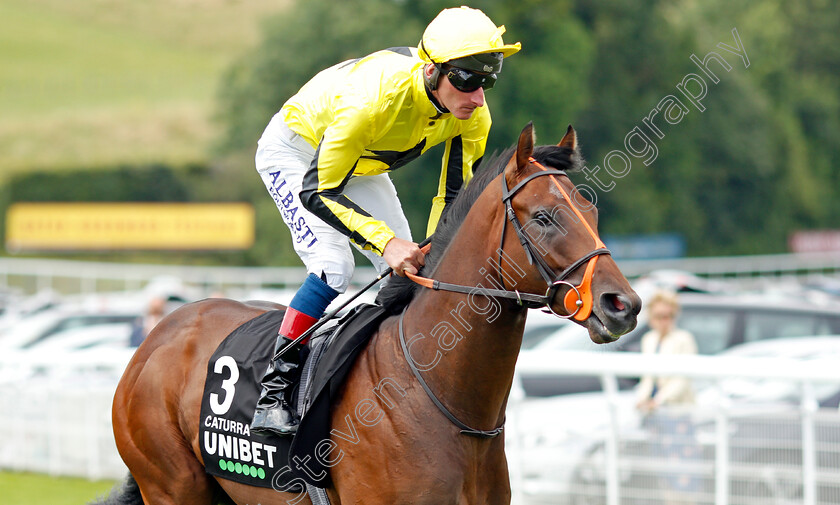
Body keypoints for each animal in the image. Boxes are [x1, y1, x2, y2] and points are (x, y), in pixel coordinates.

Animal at [101, 123, 640, 504]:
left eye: (591, 213)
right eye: (545, 217)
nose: (623, 305)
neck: (436, 393)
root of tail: (158, 335)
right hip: (172, 486)